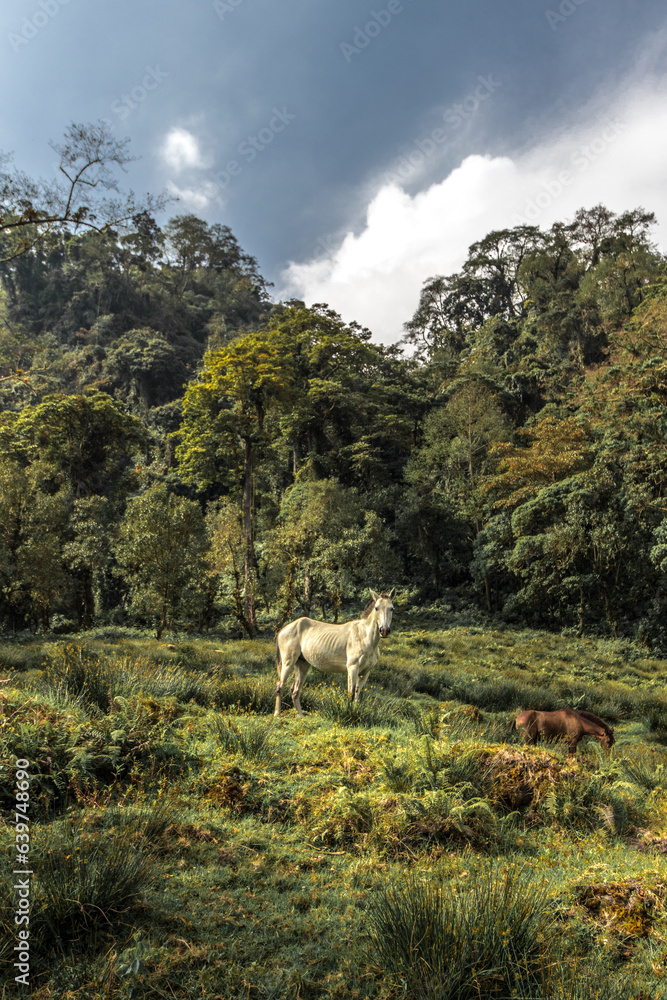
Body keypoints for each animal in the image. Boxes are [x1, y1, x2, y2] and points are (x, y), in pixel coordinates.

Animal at [274, 589, 395, 717]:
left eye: (391, 608)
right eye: (376, 608)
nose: (384, 630)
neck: (364, 636)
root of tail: (283, 629)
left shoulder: (365, 672)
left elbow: (358, 695)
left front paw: (356, 713)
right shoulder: (352, 668)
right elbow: (351, 693)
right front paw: (349, 713)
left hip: (302, 664)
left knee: (295, 690)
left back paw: (300, 715)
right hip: (288, 663)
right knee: (280, 686)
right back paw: (277, 714)